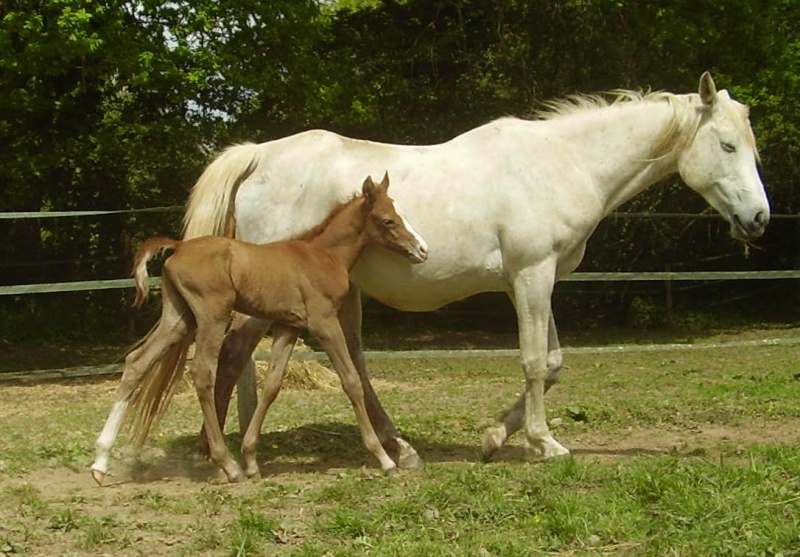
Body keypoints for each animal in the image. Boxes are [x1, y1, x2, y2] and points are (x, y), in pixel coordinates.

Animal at [181, 73, 768, 464]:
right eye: (727, 145)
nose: (758, 219)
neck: (562, 162)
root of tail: (259, 155)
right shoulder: (532, 276)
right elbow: (534, 362)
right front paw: (543, 443)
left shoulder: (539, 281)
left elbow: (553, 362)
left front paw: (494, 439)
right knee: (231, 355)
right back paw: (220, 455)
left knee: (351, 364)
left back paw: (398, 447)